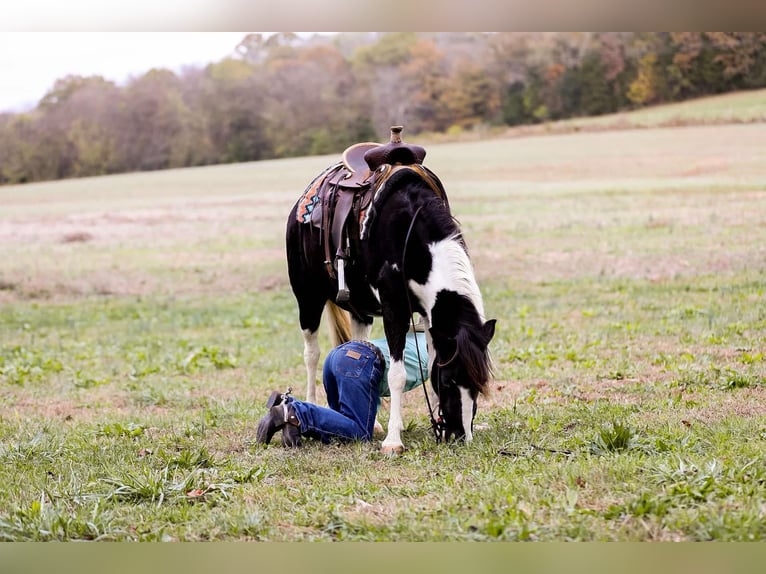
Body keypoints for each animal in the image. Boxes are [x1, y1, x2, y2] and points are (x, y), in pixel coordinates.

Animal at [284, 126, 496, 454]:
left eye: (476, 383)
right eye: (449, 381)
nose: (462, 435)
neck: (409, 230)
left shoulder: (429, 316)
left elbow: (428, 362)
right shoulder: (395, 307)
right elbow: (396, 374)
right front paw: (394, 441)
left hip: (359, 307)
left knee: (357, 342)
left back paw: (372, 424)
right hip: (308, 297)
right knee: (312, 353)